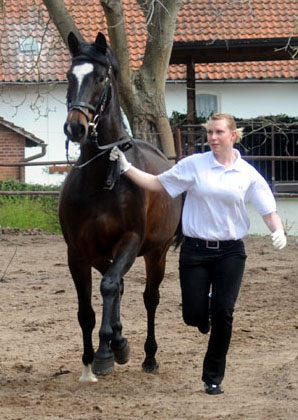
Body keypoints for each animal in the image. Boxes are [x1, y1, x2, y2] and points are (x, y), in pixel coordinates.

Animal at [58, 31, 182, 382]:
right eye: (70, 77)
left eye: (101, 78)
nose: (75, 127)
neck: (103, 177)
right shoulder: (78, 252)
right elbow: (87, 310)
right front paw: (91, 360)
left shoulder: (130, 241)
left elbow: (111, 286)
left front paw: (109, 350)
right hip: (102, 254)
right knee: (117, 287)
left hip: (157, 253)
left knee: (147, 297)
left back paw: (147, 356)